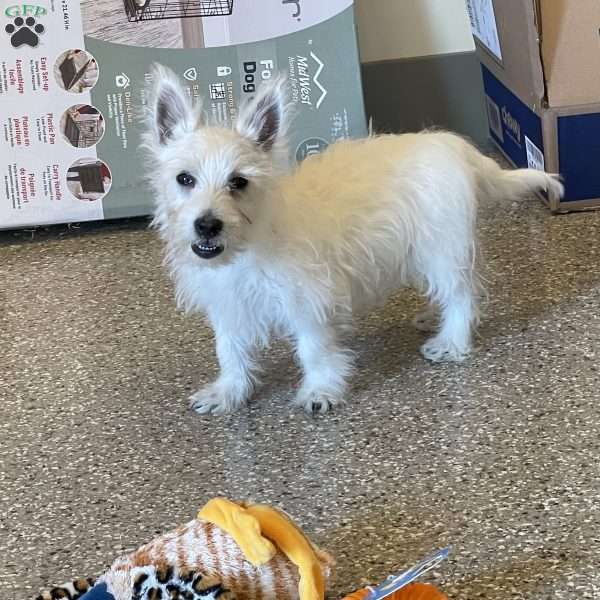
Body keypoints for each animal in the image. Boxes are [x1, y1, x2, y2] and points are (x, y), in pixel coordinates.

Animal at [144, 64, 564, 412]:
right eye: (185, 178)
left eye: (238, 182)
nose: (207, 225)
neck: (250, 242)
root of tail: (456, 147)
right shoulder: (228, 307)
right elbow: (230, 352)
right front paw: (228, 392)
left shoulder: (307, 299)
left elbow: (313, 348)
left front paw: (320, 390)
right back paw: (435, 317)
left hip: (441, 249)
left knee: (462, 294)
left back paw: (451, 341)